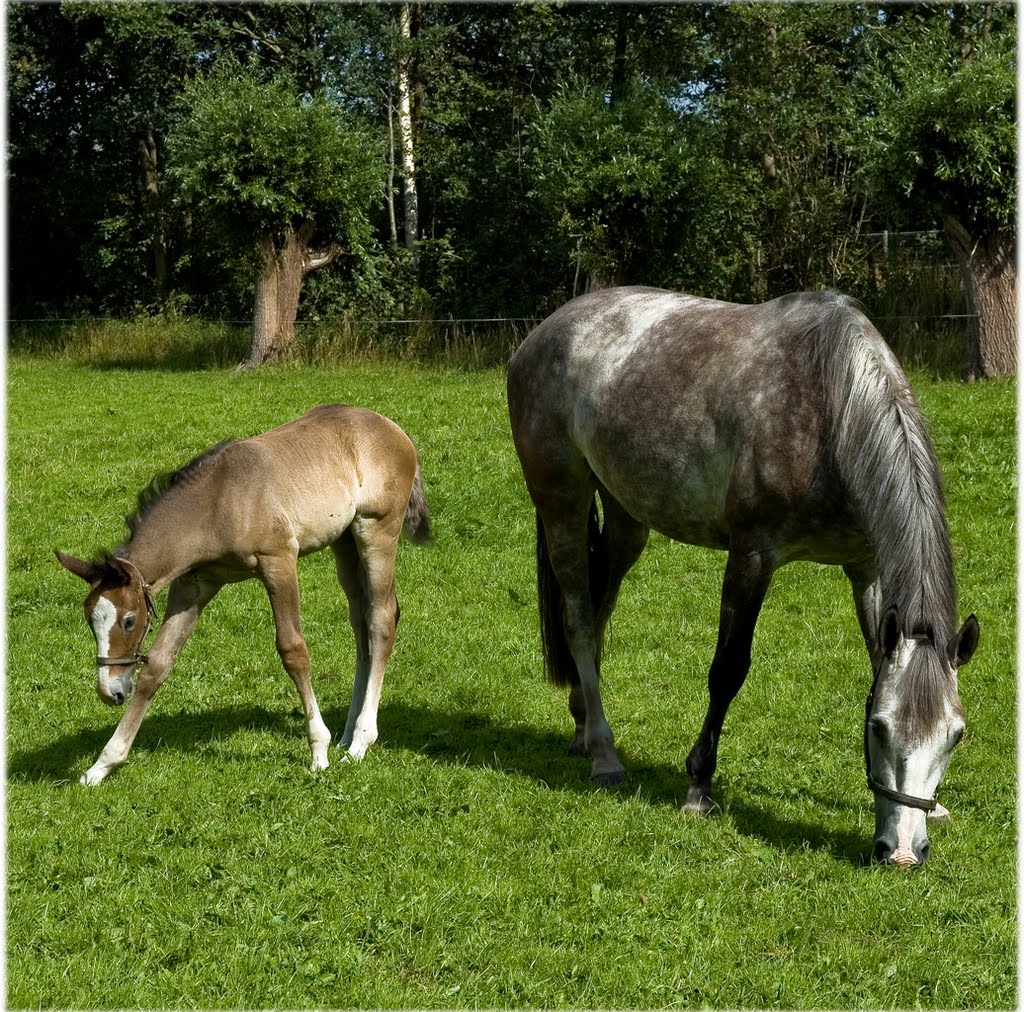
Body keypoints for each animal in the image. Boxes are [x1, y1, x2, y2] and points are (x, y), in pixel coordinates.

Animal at [56, 407, 432, 786]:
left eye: (129, 621)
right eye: (90, 621)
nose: (110, 691)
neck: (216, 503)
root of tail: (391, 427)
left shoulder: (279, 561)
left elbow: (293, 650)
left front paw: (318, 750)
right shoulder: (194, 585)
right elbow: (158, 665)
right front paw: (102, 765)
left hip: (377, 530)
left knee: (382, 618)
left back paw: (360, 742)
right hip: (344, 540)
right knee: (361, 622)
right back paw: (348, 734)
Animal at [507, 288, 978, 864]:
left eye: (955, 735)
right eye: (881, 728)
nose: (905, 852)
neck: (830, 410)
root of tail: (545, 331)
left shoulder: (864, 570)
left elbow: (876, 665)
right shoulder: (752, 557)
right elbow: (728, 670)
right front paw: (698, 786)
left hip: (625, 520)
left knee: (598, 613)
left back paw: (582, 726)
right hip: (563, 503)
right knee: (577, 618)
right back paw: (604, 753)